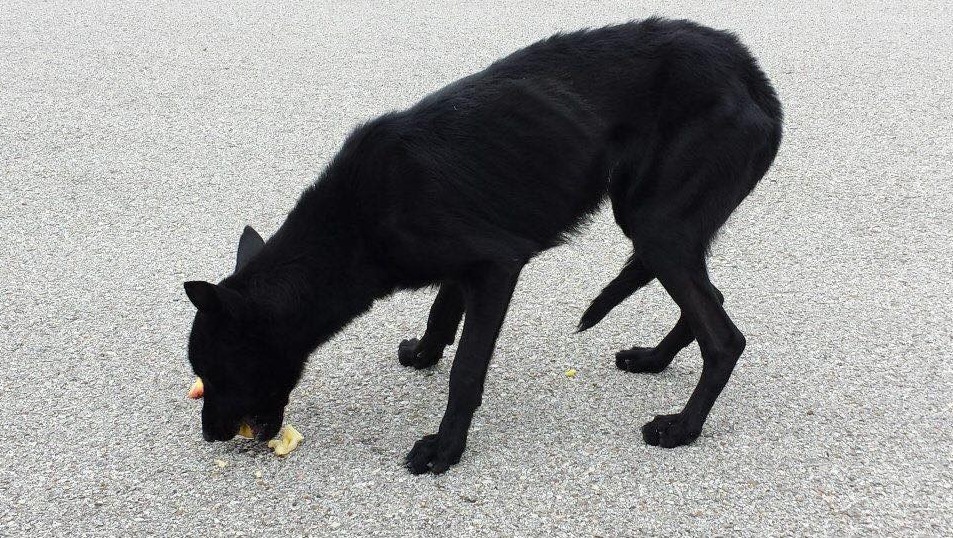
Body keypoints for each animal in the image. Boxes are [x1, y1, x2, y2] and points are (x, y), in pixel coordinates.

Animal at [184, 16, 780, 472]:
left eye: (213, 371)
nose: (212, 436)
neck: (353, 221)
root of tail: (747, 68)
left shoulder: (496, 268)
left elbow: (467, 371)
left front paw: (446, 448)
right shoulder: (464, 267)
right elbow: (442, 311)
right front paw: (426, 353)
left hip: (654, 227)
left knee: (724, 339)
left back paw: (683, 427)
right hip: (664, 229)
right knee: (712, 301)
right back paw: (654, 359)